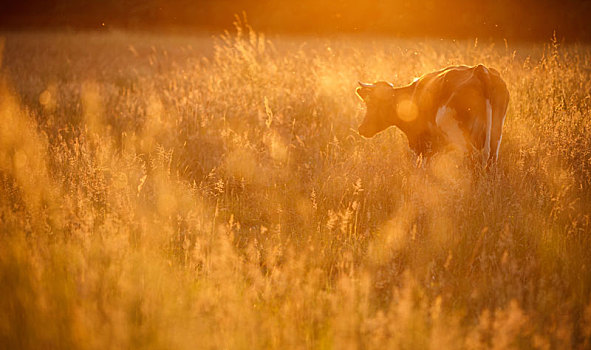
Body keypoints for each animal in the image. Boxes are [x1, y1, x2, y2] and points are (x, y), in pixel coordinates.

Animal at [358, 64, 512, 165]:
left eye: (372, 103)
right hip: (495, 134)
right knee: (491, 160)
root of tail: (480, 70)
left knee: (472, 158)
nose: (361, 129)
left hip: (459, 135)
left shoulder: (422, 144)